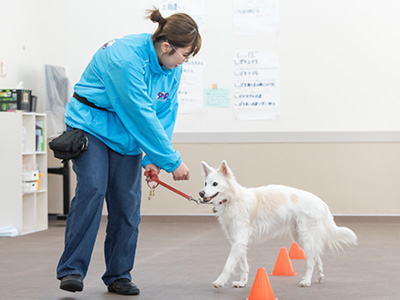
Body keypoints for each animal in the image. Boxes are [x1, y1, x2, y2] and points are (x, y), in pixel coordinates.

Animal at [198, 161, 358, 288]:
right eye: (205, 183)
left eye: (215, 184)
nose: (201, 193)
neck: (232, 199)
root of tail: (322, 203)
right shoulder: (238, 242)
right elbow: (243, 265)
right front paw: (242, 283)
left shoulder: (238, 242)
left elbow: (228, 265)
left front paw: (219, 281)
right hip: (299, 238)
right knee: (315, 255)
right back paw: (319, 276)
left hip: (305, 237)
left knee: (311, 261)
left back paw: (306, 281)